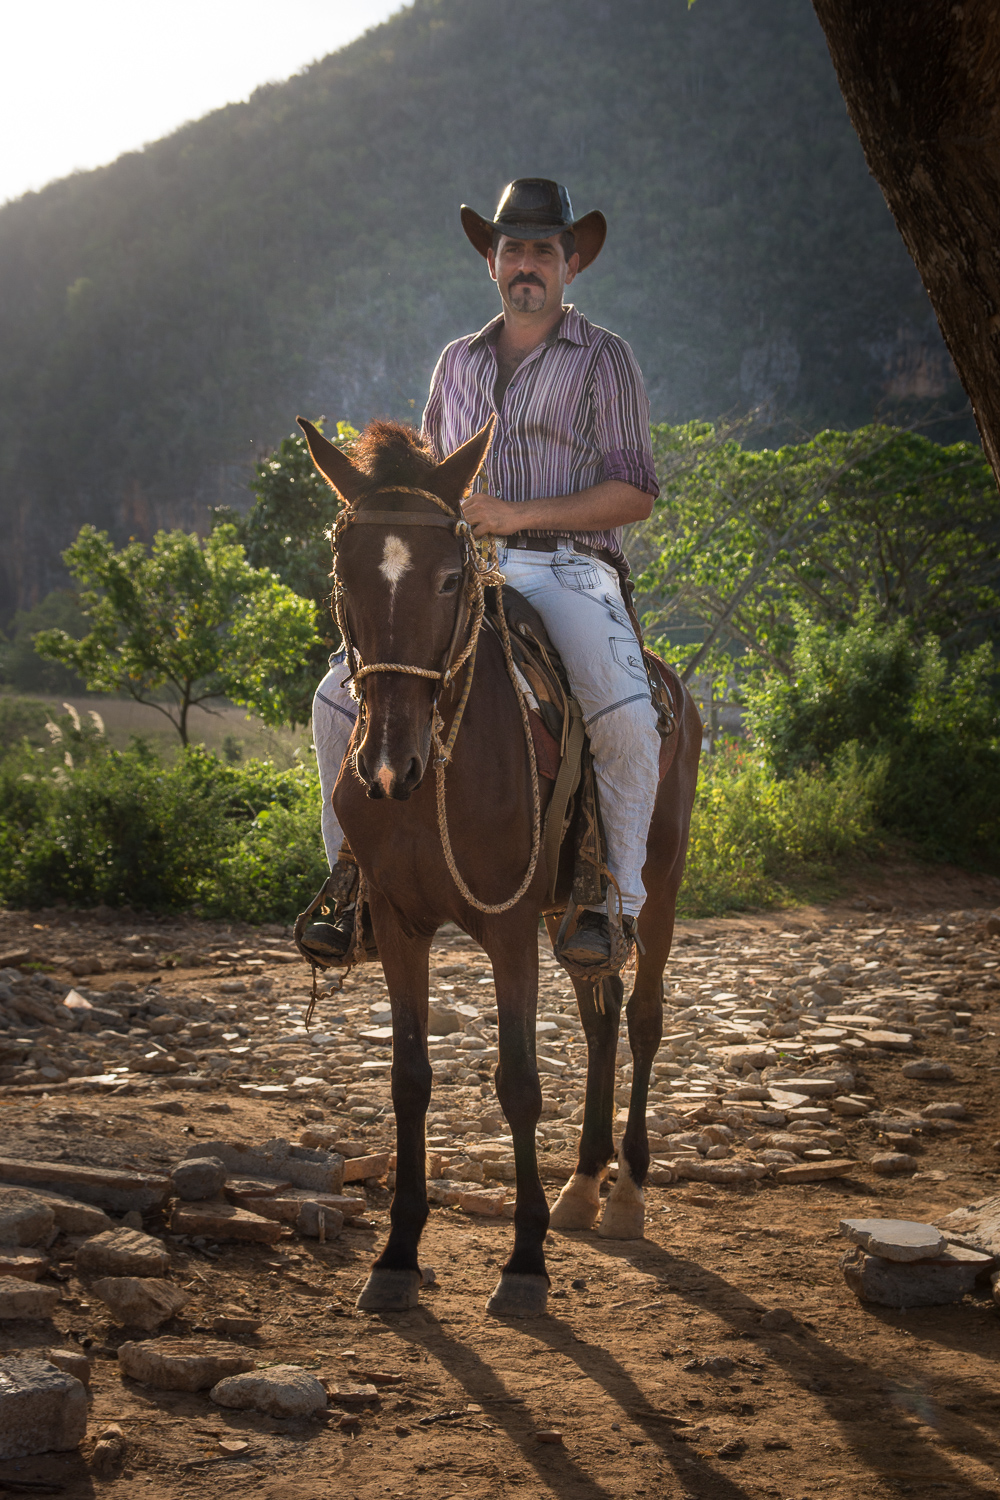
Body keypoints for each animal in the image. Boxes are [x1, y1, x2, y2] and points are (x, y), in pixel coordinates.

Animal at [301, 411, 701, 1314]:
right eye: (343, 576)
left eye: (452, 578)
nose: (388, 766)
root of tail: (674, 690)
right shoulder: (402, 924)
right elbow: (409, 1077)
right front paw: (397, 1255)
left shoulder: (510, 926)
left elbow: (518, 1079)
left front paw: (524, 1263)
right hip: (576, 911)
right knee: (600, 1009)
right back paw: (583, 1183)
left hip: (656, 888)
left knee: (643, 1016)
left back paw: (626, 1191)